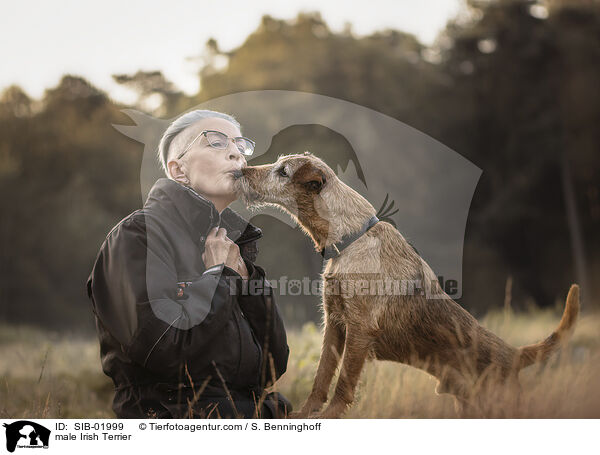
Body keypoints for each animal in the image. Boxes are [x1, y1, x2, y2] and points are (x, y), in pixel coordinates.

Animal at [233, 151, 576, 418]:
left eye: (283, 171)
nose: (241, 171)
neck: (350, 239)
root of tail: (514, 354)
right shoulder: (334, 323)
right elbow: (322, 374)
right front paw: (306, 412)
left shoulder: (359, 329)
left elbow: (343, 382)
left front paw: (330, 415)